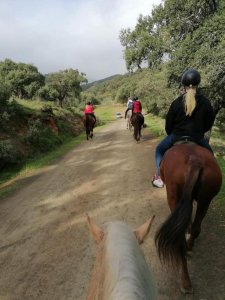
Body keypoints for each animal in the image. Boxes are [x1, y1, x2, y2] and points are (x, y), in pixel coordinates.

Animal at [155, 143, 221, 292]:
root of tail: (194, 160)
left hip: (174, 198)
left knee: (179, 240)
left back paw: (185, 283)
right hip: (205, 200)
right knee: (196, 228)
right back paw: (190, 247)